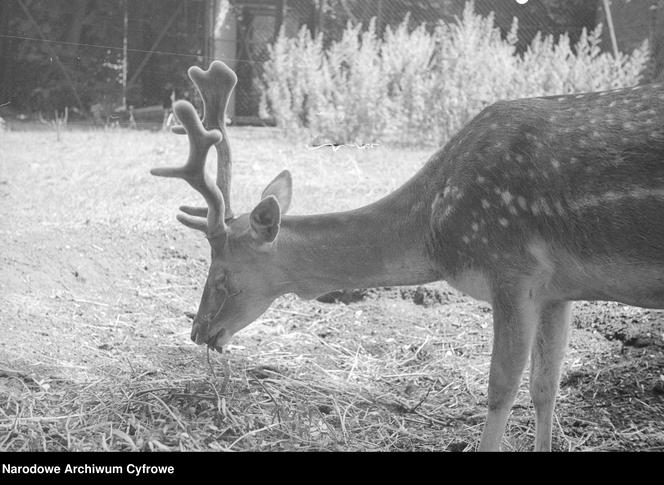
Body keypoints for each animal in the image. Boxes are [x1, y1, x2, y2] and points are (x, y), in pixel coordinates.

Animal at [153, 60, 664, 450]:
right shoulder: (558, 291)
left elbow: (500, 388)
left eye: (223, 274)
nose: (198, 332)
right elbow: (545, 388)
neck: (436, 228)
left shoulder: (511, 267)